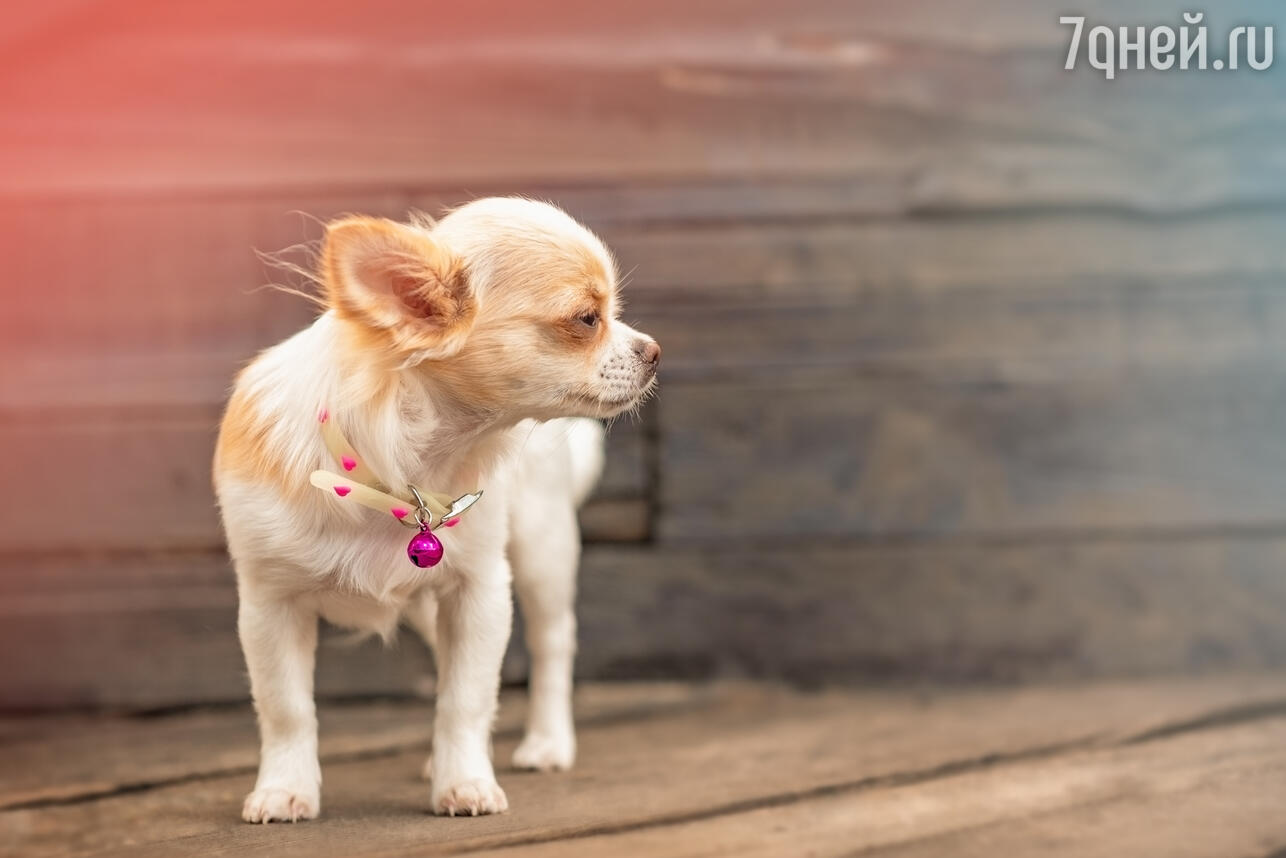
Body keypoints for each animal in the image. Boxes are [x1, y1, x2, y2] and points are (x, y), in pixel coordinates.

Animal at [212, 198, 663, 823]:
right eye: (586, 319)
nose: (654, 351)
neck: (408, 474)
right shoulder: (269, 603)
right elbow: (286, 708)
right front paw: (285, 789)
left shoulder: (480, 591)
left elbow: (465, 699)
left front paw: (465, 782)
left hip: (541, 549)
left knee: (554, 642)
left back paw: (548, 743)